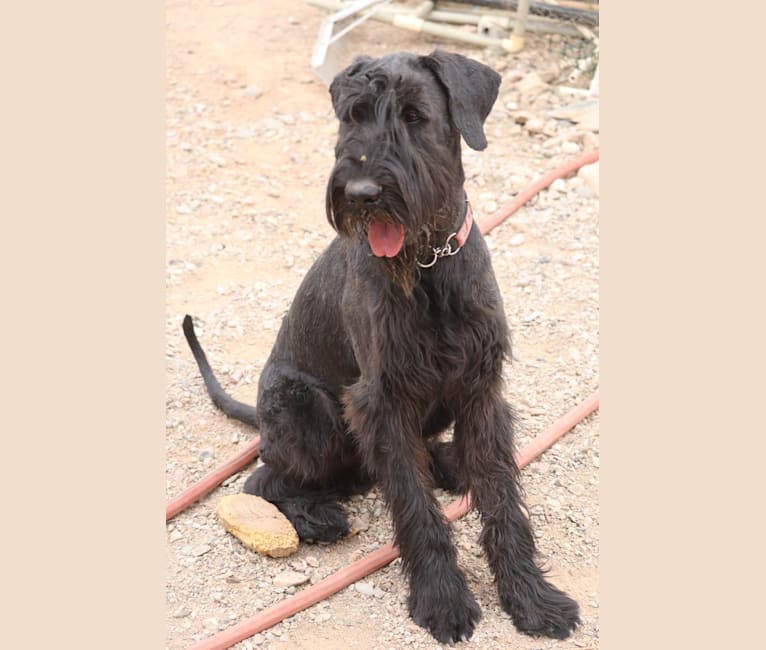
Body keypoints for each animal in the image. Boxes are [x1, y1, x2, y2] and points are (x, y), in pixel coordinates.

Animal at [184, 48, 584, 640]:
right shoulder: (383, 402)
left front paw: (532, 597)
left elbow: (502, 497)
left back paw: (448, 462)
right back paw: (317, 516)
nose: (361, 194)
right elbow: (415, 506)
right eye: (353, 115)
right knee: (264, 479)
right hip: (304, 409)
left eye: (415, 116)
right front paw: (442, 599)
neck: (429, 265)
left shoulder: (481, 390)